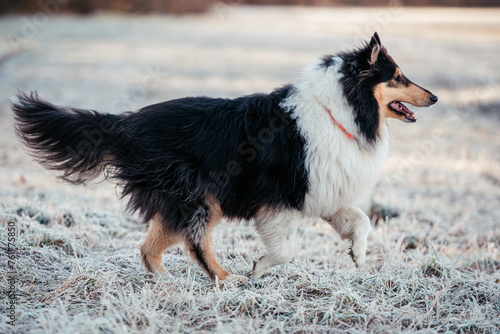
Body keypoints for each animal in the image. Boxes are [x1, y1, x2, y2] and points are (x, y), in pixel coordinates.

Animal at [11, 33, 436, 282]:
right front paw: (258, 269)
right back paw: (226, 279)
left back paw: (166, 284)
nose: (434, 97)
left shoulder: (321, 190)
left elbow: (361, 220)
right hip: (199, 196)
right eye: (398, 76)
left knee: (150, 248)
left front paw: (358, 255)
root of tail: (125, 123)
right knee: (195, 243)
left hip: (181, 200)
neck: (341, 109)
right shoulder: (280, 199)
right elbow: (284, 250)